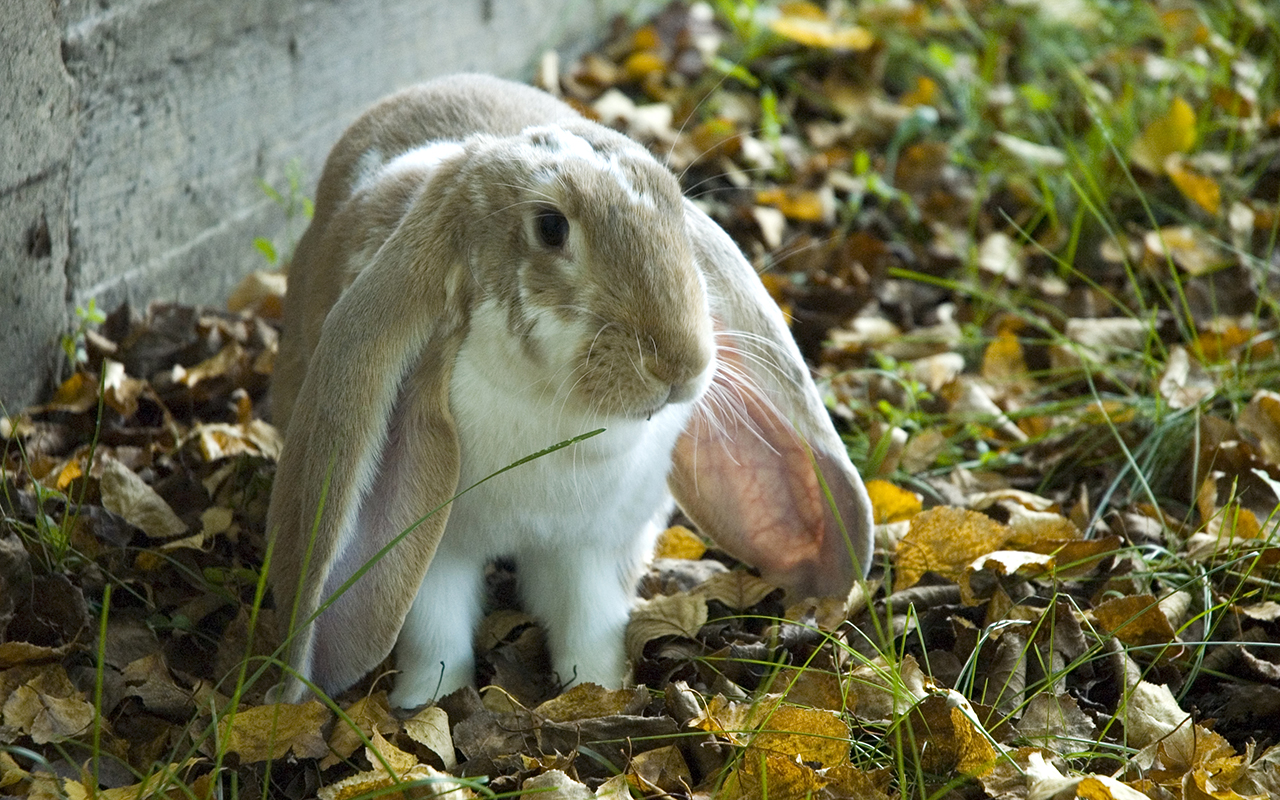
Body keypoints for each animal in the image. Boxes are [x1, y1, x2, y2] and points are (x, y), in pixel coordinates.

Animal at [266, 73, 875, 706]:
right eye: (550, 226)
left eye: (676, 210)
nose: (681, 364)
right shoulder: (435, 556)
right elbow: (436, 637)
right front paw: (426, 706)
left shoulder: (589, 550)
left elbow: (588, 625)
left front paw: (597, 691)